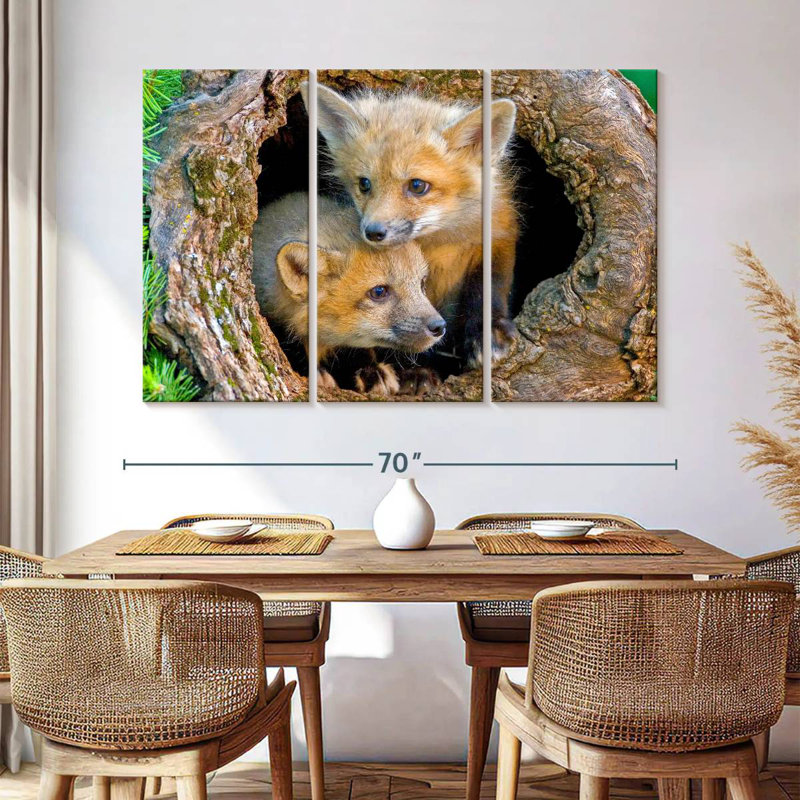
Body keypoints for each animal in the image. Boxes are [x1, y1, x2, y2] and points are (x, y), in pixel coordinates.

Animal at [301, 82, 519, 367]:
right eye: (364, 184)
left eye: (417, 186)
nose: (373, 232)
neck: (438, 246)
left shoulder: (497, 234)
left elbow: (489, 287)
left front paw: (488, 331)